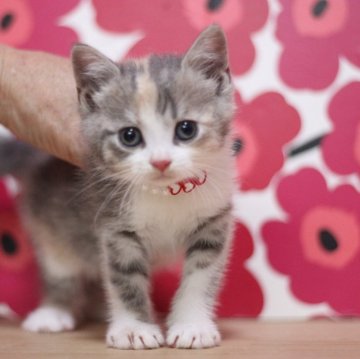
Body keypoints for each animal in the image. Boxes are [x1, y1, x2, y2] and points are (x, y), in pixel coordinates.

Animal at [10, 24, 236, 348]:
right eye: (130, 136)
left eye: (186, 129)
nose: (161, 161)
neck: (166, 193)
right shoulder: (115, 226)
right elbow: (124, 277)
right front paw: (134, 329)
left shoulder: (213, 221)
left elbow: (201, 275)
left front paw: (192, 325)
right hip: (50, 221)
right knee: (60, 266)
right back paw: (54, 312)